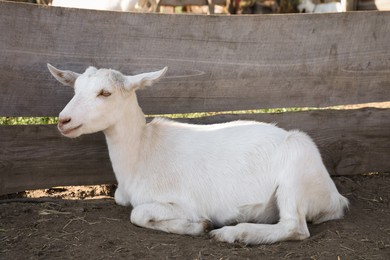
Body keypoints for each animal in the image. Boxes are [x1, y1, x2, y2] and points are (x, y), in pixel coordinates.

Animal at [47, 64, 348, 245]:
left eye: (105, 93)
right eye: (75, 89)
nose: (63, 120)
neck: (143, 151)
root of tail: (335, 198)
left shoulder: (185, 202)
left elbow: (139, 214)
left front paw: (197, 226)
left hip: (295, 172)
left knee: (295, 227)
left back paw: (232, 233)